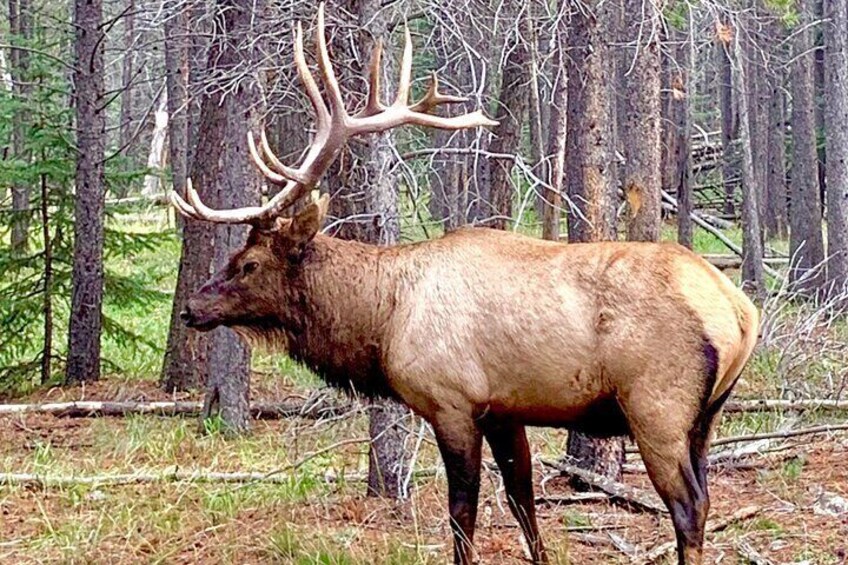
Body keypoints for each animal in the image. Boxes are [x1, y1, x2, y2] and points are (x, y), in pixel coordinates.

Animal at [169, 5, 760, 564]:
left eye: (248, 263)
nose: (191, 308)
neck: (382, 320)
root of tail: (740, 311)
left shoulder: (451, 401)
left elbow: (462, 514)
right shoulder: (503, 410)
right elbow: (523, 502)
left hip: (657, 406)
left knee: (689, 507)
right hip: (706, 417)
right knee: (705, 496)